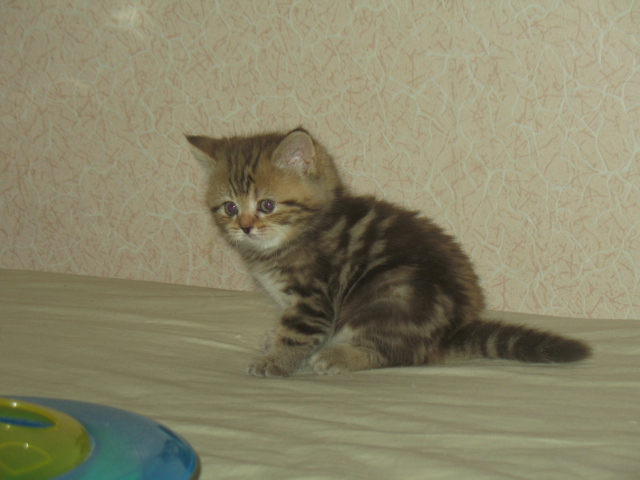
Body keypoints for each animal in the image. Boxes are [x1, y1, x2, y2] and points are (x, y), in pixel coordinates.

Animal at [187, 128, 591, 377]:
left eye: (267, 205)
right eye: (229, 208)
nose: (245, 227)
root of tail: (449, 331)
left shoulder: (314, 298)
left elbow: (297, 333)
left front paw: (275, 361)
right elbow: (283, 322)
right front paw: (272, 339)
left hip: (391, 291)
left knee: (397, 354)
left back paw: (339, 356)